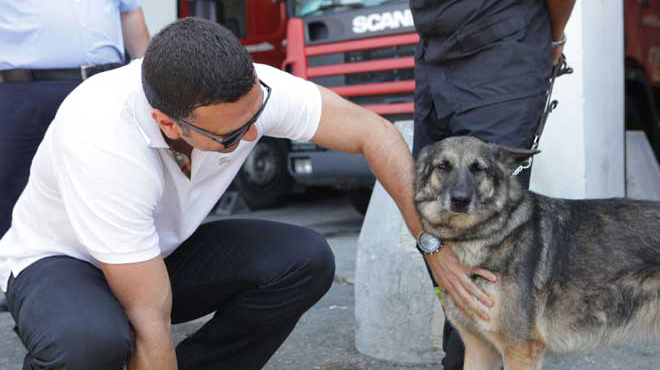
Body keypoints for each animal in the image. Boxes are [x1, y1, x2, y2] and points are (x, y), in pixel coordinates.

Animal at [412, 136, 660, 370]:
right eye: (443, 166)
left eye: (478, 168)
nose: (460, 200)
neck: (484, 234)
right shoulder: (480, 351)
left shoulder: (519, 350)